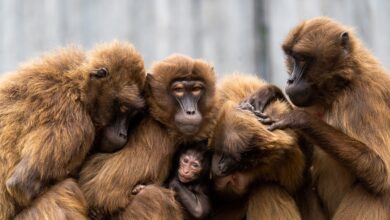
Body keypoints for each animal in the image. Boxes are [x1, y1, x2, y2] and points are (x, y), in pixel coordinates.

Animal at [0, 40, 146, 218]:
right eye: (123, 108)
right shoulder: (76, 125)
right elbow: (20, 184)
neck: (77, 88)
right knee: (67, 188)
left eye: (131, 115)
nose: (122, 134)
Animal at [77, 53, 216, 220]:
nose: (190, 111)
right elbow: (103, 193)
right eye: (178, 90)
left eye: (196, 89)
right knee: (151, 196)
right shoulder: (158, 137)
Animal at [254, 16, 390, 219]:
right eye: (293, 59)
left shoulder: (364, 99)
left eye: (302, 59)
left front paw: (298, 118)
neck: (343, 83)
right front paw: (270, 92)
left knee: (374, 190)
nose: (290, 80)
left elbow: (379, 171)